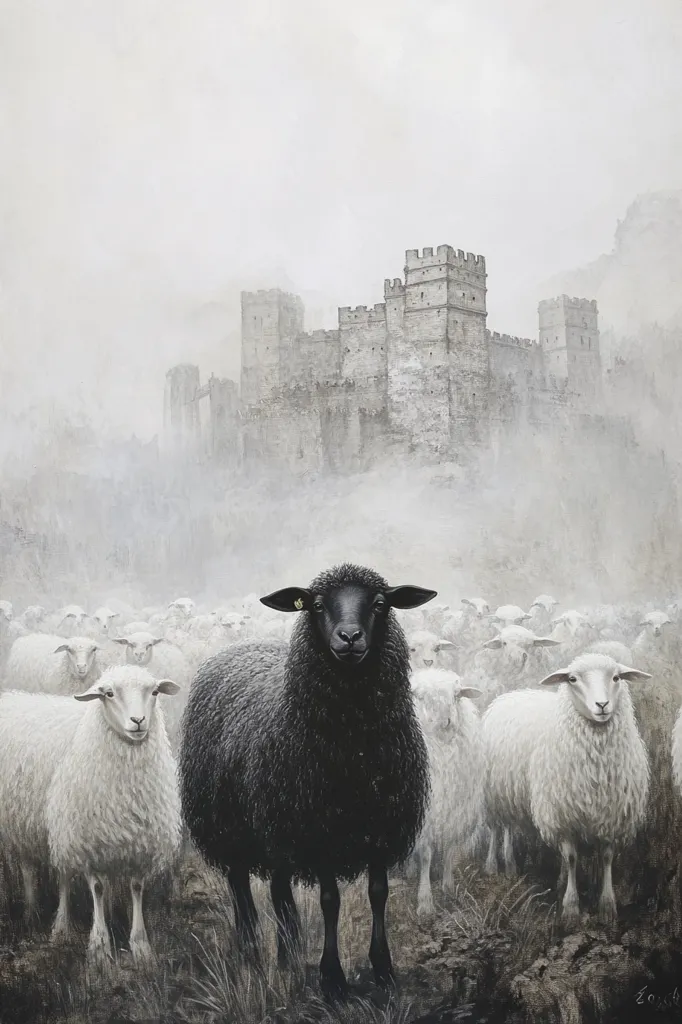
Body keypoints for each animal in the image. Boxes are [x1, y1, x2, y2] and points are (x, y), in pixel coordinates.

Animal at [45, 666, 182, 961]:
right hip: (65, 832)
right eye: (108, 694)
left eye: (155, 692)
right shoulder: (90, 844)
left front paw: (141, 945)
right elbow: (96, 888)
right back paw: (61, 928)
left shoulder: (141, 844)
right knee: (64, 880)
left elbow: (136, 888)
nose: (138, 720)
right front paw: (99, 946)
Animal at [179, 562, 436, 1001]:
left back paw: (289, 955)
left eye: (380, 603)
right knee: (240, 884)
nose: (349, 638)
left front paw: (384, 970)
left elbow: (378, 894)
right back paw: (251, 950)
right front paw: (332, 980)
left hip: (275, 824)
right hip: (230, 825)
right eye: (316, 604)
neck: (353, 749)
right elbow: (330, 900)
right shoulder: (317, 830)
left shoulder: (380, 827)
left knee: (280, 892)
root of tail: (239, 648)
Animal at [409, 668, 484, 917]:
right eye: (420, 696)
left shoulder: (456, 810)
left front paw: (449, 887)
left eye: (456, 695)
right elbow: (425, 855)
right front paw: (425, 901)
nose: (444, 721)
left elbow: (450, 849)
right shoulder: (425, 816)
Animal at [483, 653, 651, 928]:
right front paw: (571, 908)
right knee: (499, 828)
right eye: (572, 679)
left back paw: (517, 867)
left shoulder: (611, 814)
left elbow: (606, 857)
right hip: (495, 793)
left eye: (616, 677)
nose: (602, 704)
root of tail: (512, 694)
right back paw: (496, 866)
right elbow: (572, 857)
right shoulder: (562, 814)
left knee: (509, 826)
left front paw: (607, 906)